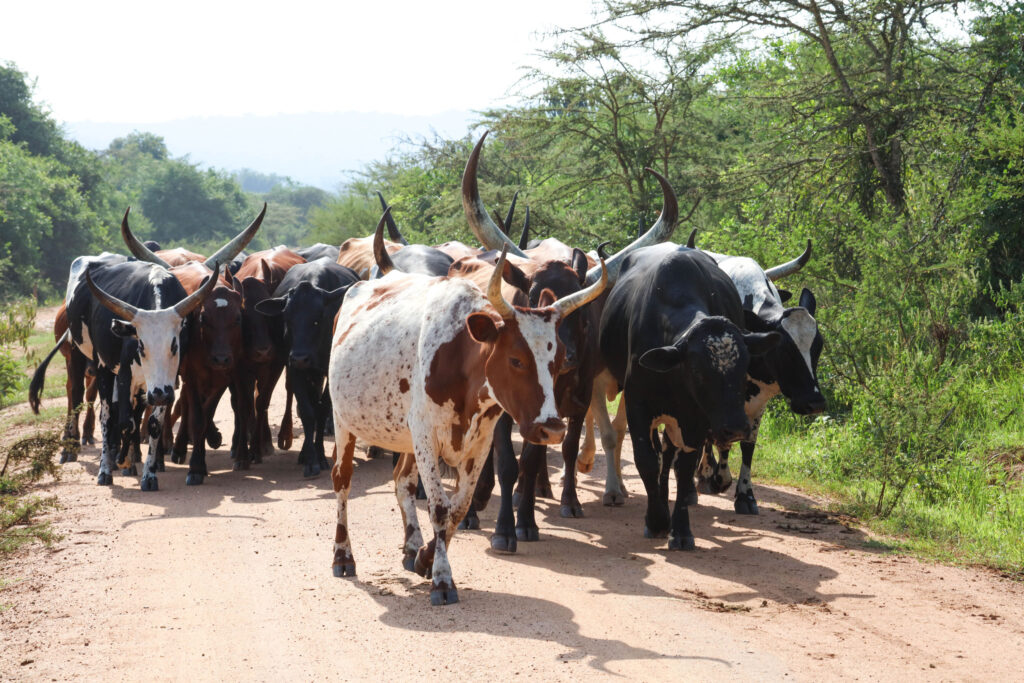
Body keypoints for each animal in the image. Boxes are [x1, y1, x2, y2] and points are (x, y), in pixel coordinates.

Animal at [255, 257, 360, 477]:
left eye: (317, 319)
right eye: (286, 318)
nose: (301, 357)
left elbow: (322, 410)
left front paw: (319, 456)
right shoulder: (294, 368)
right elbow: (307, 411)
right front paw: (310, 459)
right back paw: (304, 451)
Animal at [328, 236, 608, 605]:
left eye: (559, 359)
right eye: (516, 360)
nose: (552, 428)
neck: (461, 356)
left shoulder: (479, 439)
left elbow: (458, 509)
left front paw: (425, 559)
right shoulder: (428, 435)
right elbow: (440, 507)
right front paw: (442, 580)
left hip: (405, 436)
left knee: (402, 480)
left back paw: (412, 545)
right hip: (344, 421)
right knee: (342, 480)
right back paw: (343, 556)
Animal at [599, 243, 780, 549]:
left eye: (745, 365)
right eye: (697, 369)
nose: (736, 427)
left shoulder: (695, 420)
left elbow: (683, 469)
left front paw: (680, 530)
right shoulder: (638, 405)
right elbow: (647, 460)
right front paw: (657, 521)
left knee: (668, 454)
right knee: (659, 456)